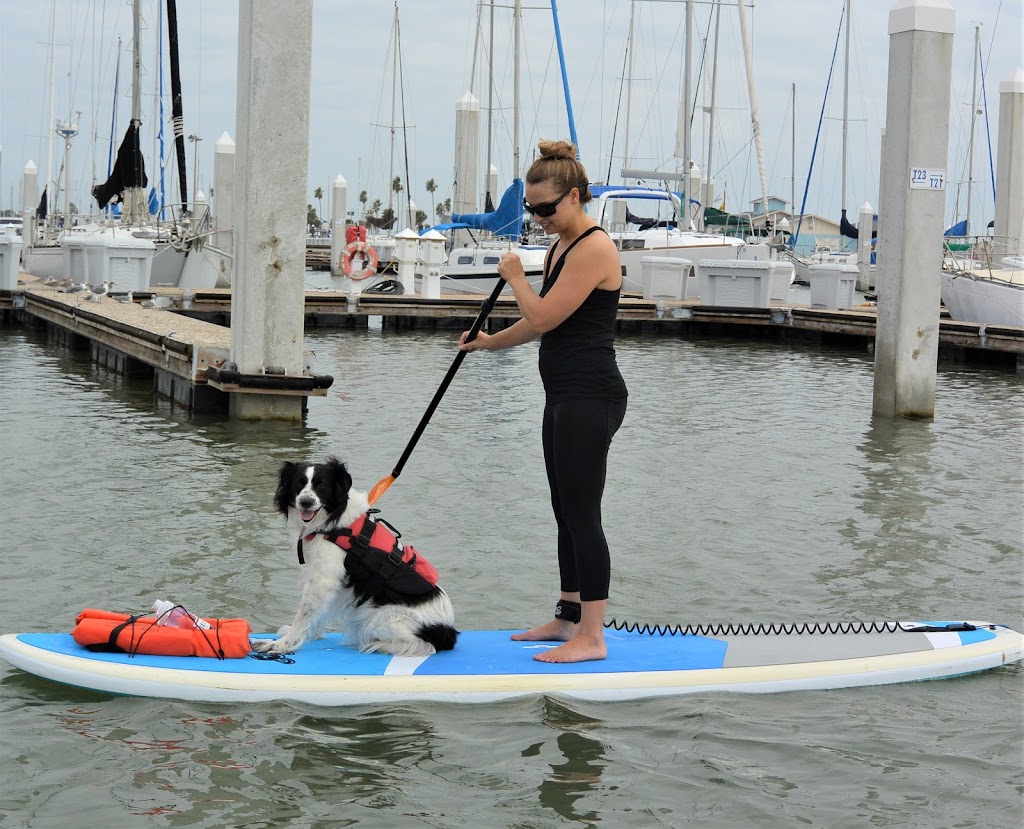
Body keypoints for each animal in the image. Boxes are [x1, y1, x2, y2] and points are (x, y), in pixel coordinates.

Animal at [249, 456, 458, 655]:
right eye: (298, 484)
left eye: (322, 485)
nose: (306, 502)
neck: (333, 520)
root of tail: (449, 632)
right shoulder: (330, 581)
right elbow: (317, 614)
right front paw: (308, 635)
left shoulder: (323, 579)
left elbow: (303, 615)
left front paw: (280, 645)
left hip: (379, 617)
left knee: (427, 647)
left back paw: (377, 645)